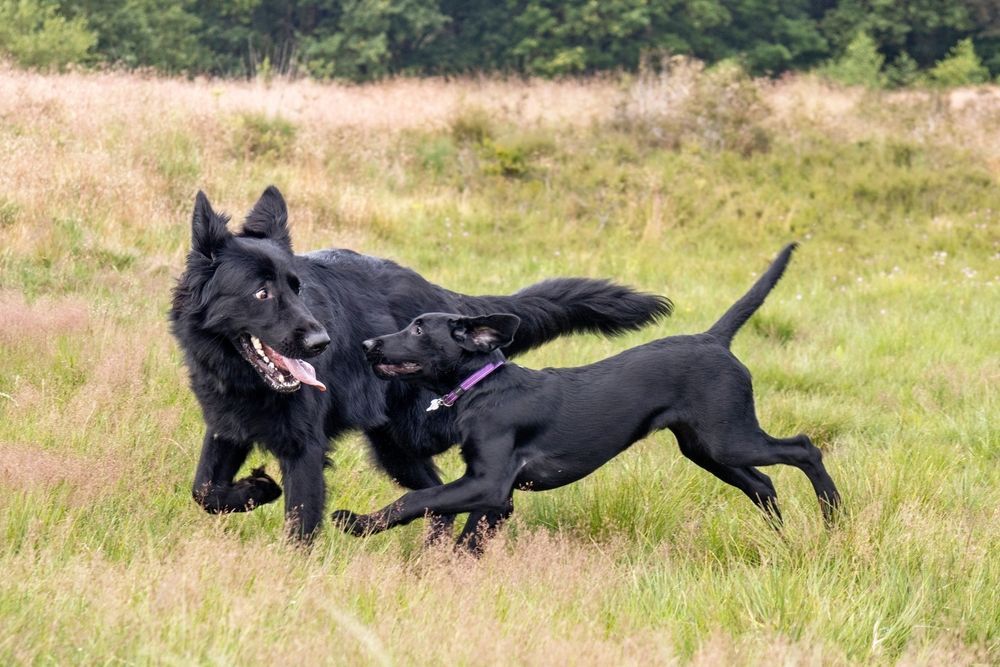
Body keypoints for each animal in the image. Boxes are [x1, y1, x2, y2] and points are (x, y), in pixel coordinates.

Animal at [170, 185, 672, 540]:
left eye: (297, 289)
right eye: (261, 293)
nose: (320, 342)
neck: (245, 379)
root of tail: (450, 305)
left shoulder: (304, 449)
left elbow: (300, 525)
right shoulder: (228, 427)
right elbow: (203, 491)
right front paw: (257, 489)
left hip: (412, 435)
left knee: (478, 494)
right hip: (396, 447)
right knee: (439, 497)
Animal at [338, 245, 844, 548]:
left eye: (419, 329)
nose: (368, 344)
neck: (482, 385)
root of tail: (714, 339)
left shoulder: (489, 482)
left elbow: (417, 500)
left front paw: (355, 523)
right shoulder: (496, 496)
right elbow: (466, 537)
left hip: (729, 437)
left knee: (804, 448)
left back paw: (834, 518)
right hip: (704, 446)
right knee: (763, 484)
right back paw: (780, 538)